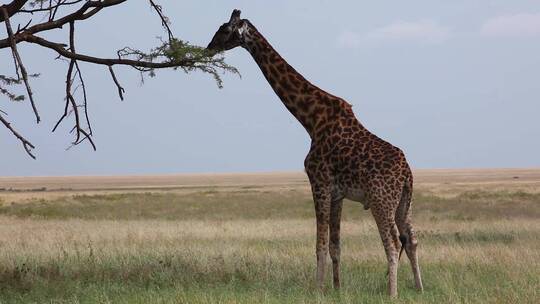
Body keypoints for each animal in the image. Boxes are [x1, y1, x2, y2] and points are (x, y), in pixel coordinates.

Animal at [207, 9, 422, 296]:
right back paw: (419, 288)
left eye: (224, 29)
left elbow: (319, 244)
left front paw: (318, 289)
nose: (208, 47)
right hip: (404, 202)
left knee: (393, 242)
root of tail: (407, 173)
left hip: (381, 200)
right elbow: (335, 245)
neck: (311, 119)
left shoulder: (318, 182)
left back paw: (392, 293)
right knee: (412, 239)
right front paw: (337, 288)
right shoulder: (337, 193)